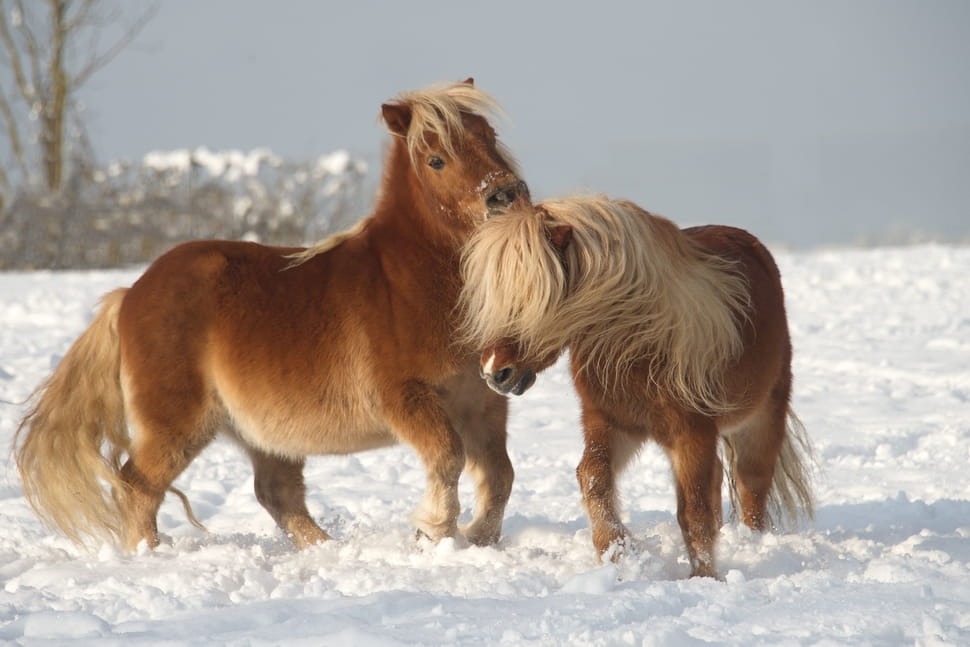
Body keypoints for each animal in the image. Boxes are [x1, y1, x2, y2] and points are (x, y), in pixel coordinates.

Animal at [13, 79, 528, 552]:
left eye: (490, 136)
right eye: (436, 159)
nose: (505, 195)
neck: (410, 280)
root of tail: (131, 294)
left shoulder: (482, 402)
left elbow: (500, 474)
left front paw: (479, 539)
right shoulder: (407, 399)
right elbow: (447, 458)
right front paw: (435, 531)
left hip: (264, 437)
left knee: (276, 494)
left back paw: (325, 550)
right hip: (176, 425)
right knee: (138, 485)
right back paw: (149, 554)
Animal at [460, 196, 808, 576]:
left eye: (532, 299)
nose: (494, 373)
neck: (638, 346)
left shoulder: (692, 433)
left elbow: (695, 510)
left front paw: (703, 577)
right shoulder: (611, 423)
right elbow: (594, 477)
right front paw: (616, 552)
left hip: (762, 419)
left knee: (752, 485)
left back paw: (753, 545)